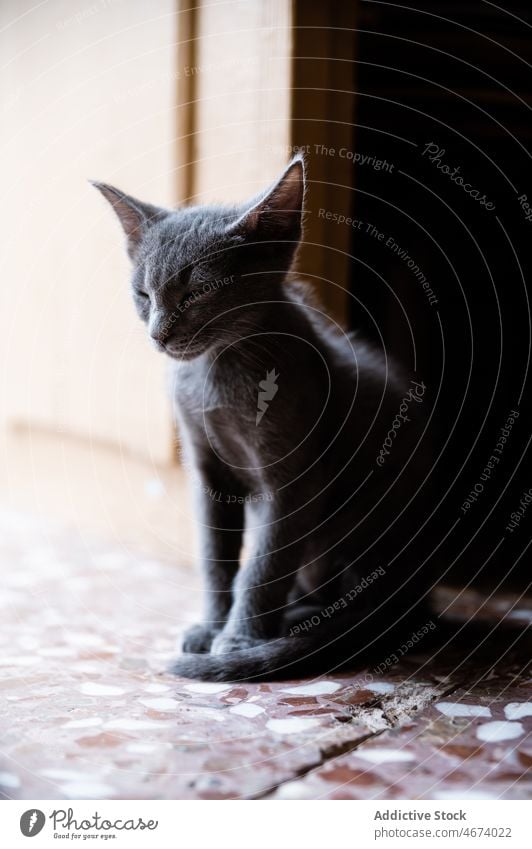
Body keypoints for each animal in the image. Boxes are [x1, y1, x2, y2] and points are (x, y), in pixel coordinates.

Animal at [93, 156, 430, 680]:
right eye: (143, 294)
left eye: (198, 292)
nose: (158, 334)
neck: (217, 369)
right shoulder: (208, 472)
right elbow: (216, 556)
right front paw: (213, 627)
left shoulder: (294, 479)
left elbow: (265, 563)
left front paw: (239, 639)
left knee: (355, 598)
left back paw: (296, 626)